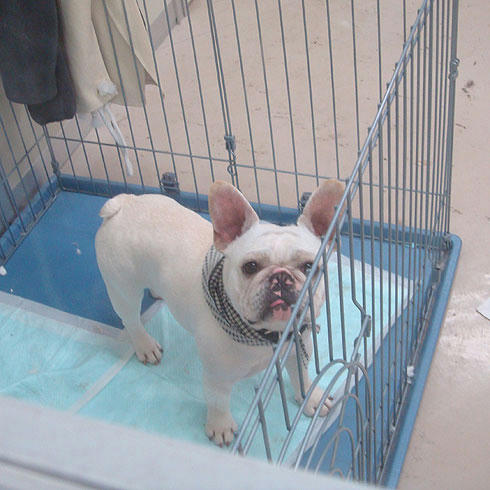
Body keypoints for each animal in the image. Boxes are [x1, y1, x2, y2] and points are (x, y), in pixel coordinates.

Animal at [95, 179, 344, 446]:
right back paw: (145, 345)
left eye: (309, 266)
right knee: (131, 320)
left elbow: (302, 377)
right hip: (123, 288)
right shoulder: (217, 376)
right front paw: (220, 426)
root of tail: (124, 204)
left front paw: (312, 397)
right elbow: (218, 402)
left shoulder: (298, 348)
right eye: (250, 267)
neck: (268, 336)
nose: (280, 277)